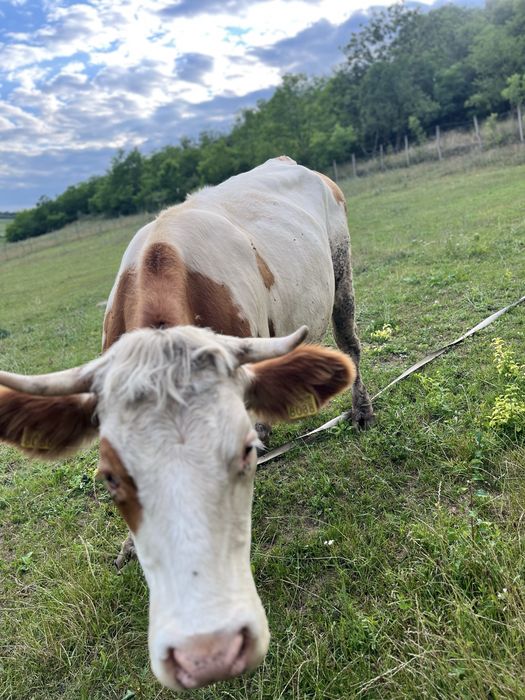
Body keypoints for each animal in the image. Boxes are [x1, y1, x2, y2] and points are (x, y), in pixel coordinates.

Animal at [0, 156, 373, 691]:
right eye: (109, 476)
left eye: (238, 454)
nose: (208, 652)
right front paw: (129, 547)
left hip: (342, 273)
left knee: (350, 343)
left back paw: (360, 409)